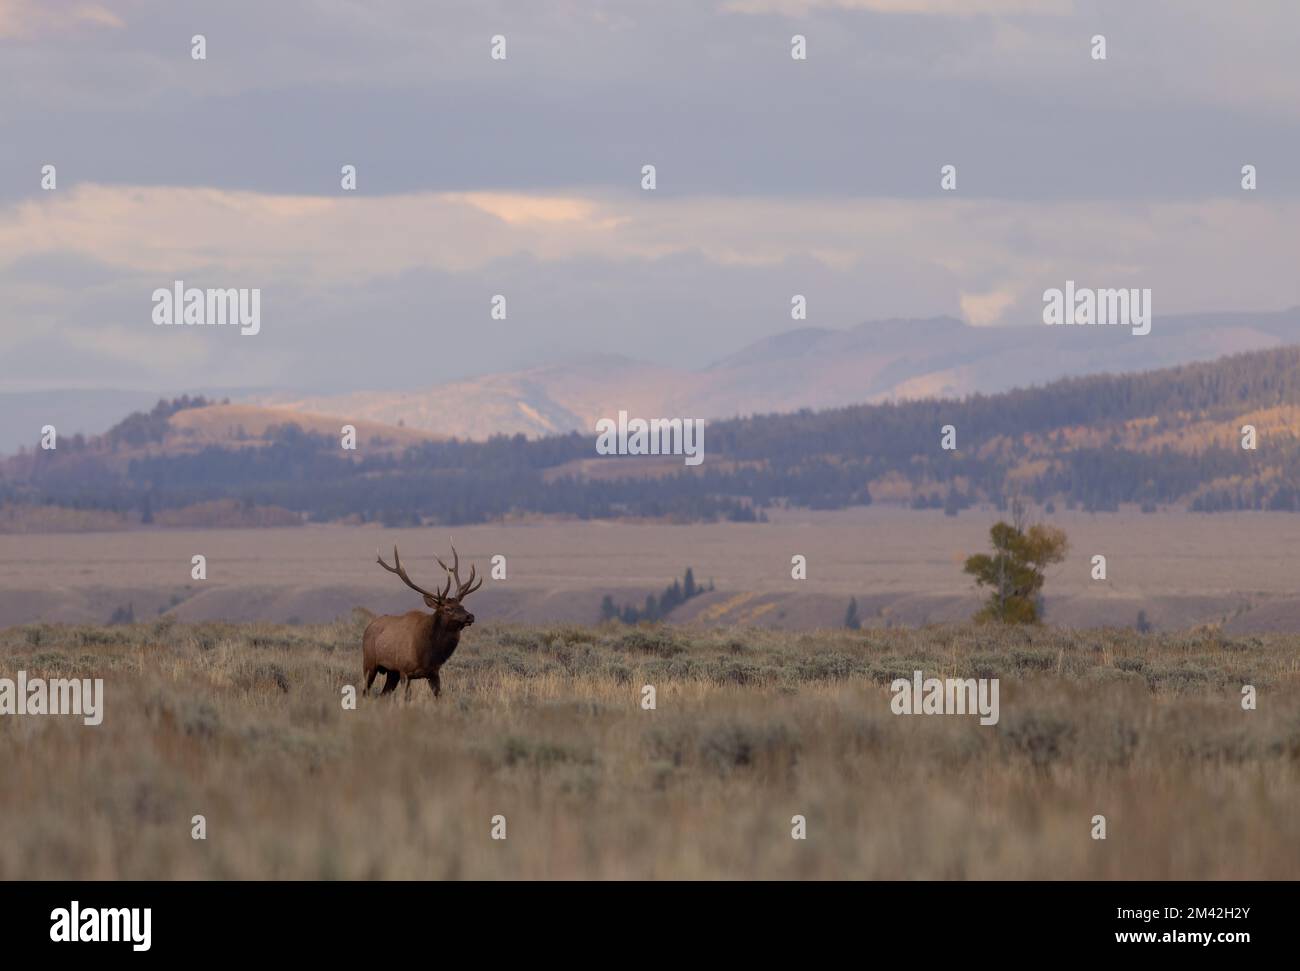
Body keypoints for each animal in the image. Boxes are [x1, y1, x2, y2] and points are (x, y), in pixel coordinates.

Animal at [362, 544, 483, 700]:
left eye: (462, 606)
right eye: (448, 608)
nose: (470, 616)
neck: (428, 653)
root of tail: (368, 628)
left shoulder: (433, 673)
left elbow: (439, 696)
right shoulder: (404, 671)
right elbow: (406, 698)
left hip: (391, 672)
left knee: (383, 694)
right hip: (369, 664)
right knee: (365, 691)